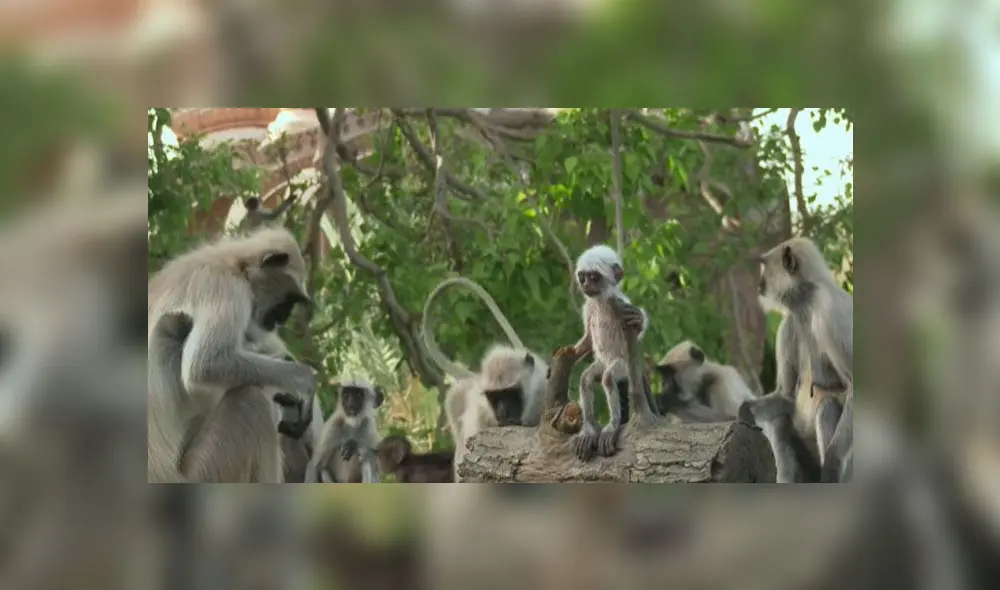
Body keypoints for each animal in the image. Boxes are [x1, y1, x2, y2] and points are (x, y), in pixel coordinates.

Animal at [147, 226, 317, 483]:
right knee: (252, 398)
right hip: (205, 472)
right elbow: (205, 365)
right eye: (288, 301)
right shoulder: (224, 285)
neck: (234, 263)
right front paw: (304, 381)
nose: (284, 318)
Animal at [565, 245, 658, 461]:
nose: (585, 284)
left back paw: (612, 425)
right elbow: (588, 339)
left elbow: (635, 330)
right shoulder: (589, 307)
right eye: (583, 277)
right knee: (586, 380)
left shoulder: (619, 304)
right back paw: (589, 430)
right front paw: (573, 352)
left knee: (608, 379)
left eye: (593, 277)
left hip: (622, 366)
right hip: (602, 363)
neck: (600, 302)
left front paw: (639, 321)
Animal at [749, 236, 853, 482]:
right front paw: (744, 412)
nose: (759, 284)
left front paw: (832, 466)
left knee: (827, 406)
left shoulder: (828, 311)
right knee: (779, 419)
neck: (806, 303)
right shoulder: (788, 323)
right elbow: (786, 395)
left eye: (765, 267)